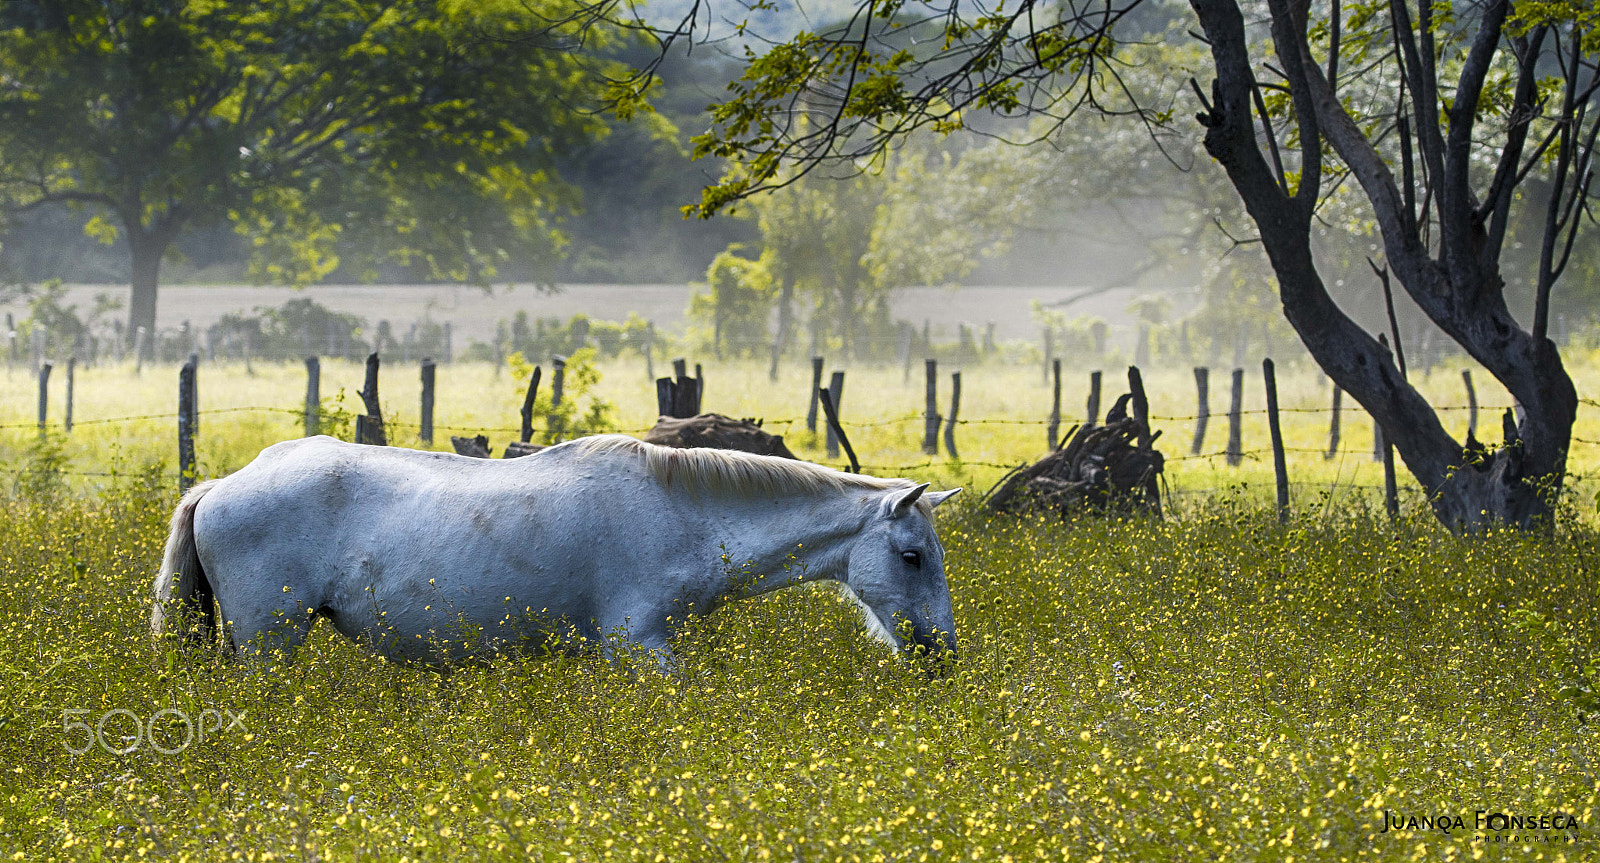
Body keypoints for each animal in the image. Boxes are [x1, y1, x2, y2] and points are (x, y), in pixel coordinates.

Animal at [156, 435, 960, 666]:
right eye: (912, 556)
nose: (942, 655)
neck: (683, 513)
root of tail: (225, 483)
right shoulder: (640, 646)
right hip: (270, 643)